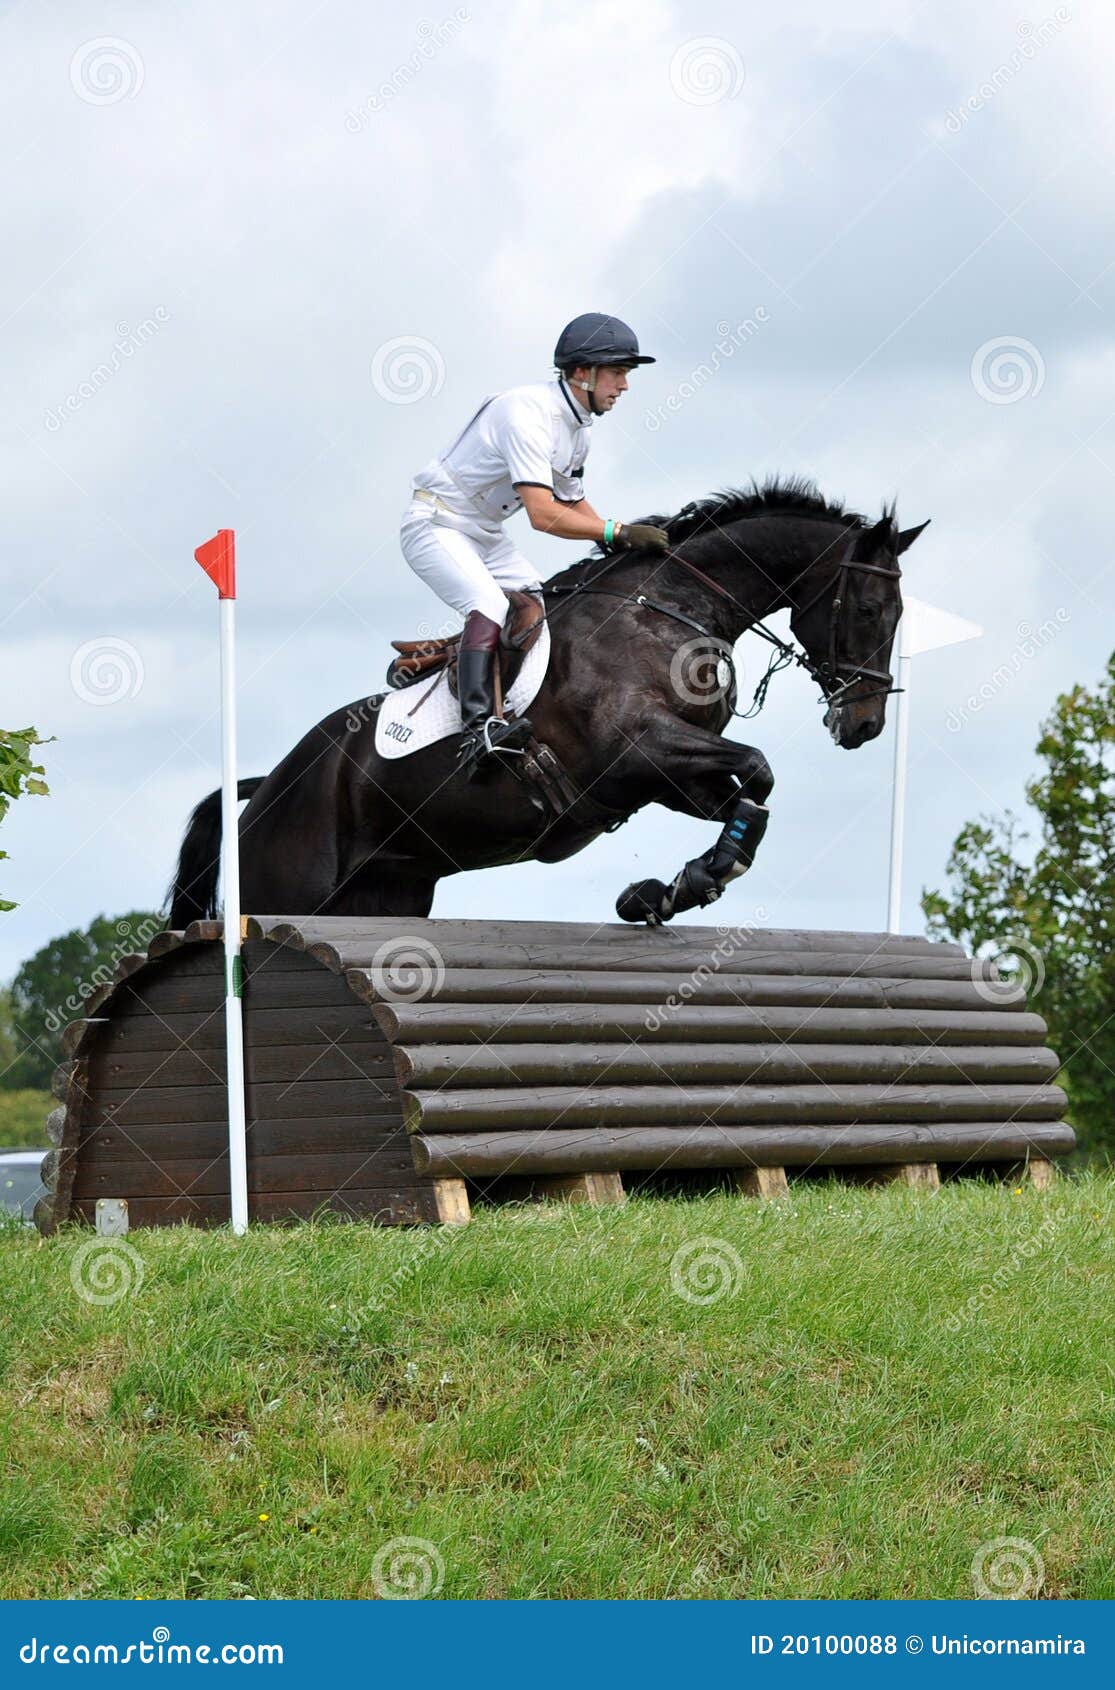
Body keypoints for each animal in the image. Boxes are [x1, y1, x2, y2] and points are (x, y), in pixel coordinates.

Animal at [166, 479, 927, 928]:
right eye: (867, 609)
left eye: (897, 616)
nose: (865, 723)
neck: (670, 611)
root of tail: (270, 786)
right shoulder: (636, 750)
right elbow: (761, 767)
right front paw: (690, 880)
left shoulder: (669, 778)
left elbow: (749, 797)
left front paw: (669, 890)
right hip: (287, 892)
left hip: (387, 895)